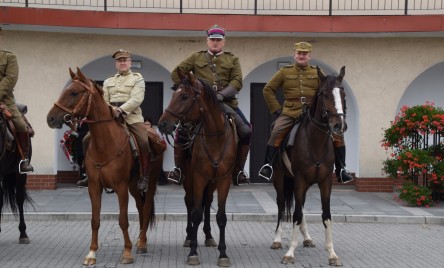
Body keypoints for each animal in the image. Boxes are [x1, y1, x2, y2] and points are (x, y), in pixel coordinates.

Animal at [46, 68, 163, 264]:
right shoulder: (94, 187)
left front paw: (127, 253)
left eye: (73, 92)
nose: (51, 118)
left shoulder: (121, 187)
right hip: (133, 185)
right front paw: (92, 253)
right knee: (140, 207)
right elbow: (95, 220)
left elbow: (123, 220)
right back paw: (140, 240)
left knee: (146, 208)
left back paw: (142, 243)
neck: (106, 143)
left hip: (150, 182)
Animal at [159, 70, 238, 266]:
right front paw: (193, 252)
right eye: (174, 94)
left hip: (212, 181)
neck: (215, 138)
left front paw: (223, 254)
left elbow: (221, 216)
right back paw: (189, 237)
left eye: (184, 96)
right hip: (189, 178)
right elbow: (195, 213)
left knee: (207, 202)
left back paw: (209, 236)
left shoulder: (223, 180)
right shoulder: (198, 178)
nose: (162, 124)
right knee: (189, 203)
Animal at [268, 66, 348, 266]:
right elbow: (295, 215)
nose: (339, 126)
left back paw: (307, 238)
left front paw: (332, 254)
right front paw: (290, 252)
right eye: (325, 94)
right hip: (280, 180)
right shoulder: (299, 179)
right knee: (281, 205)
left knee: (301, 205)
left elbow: (326, 215)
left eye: (343, 94)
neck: (316, 142)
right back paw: (277, 239)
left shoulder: (326, 181)